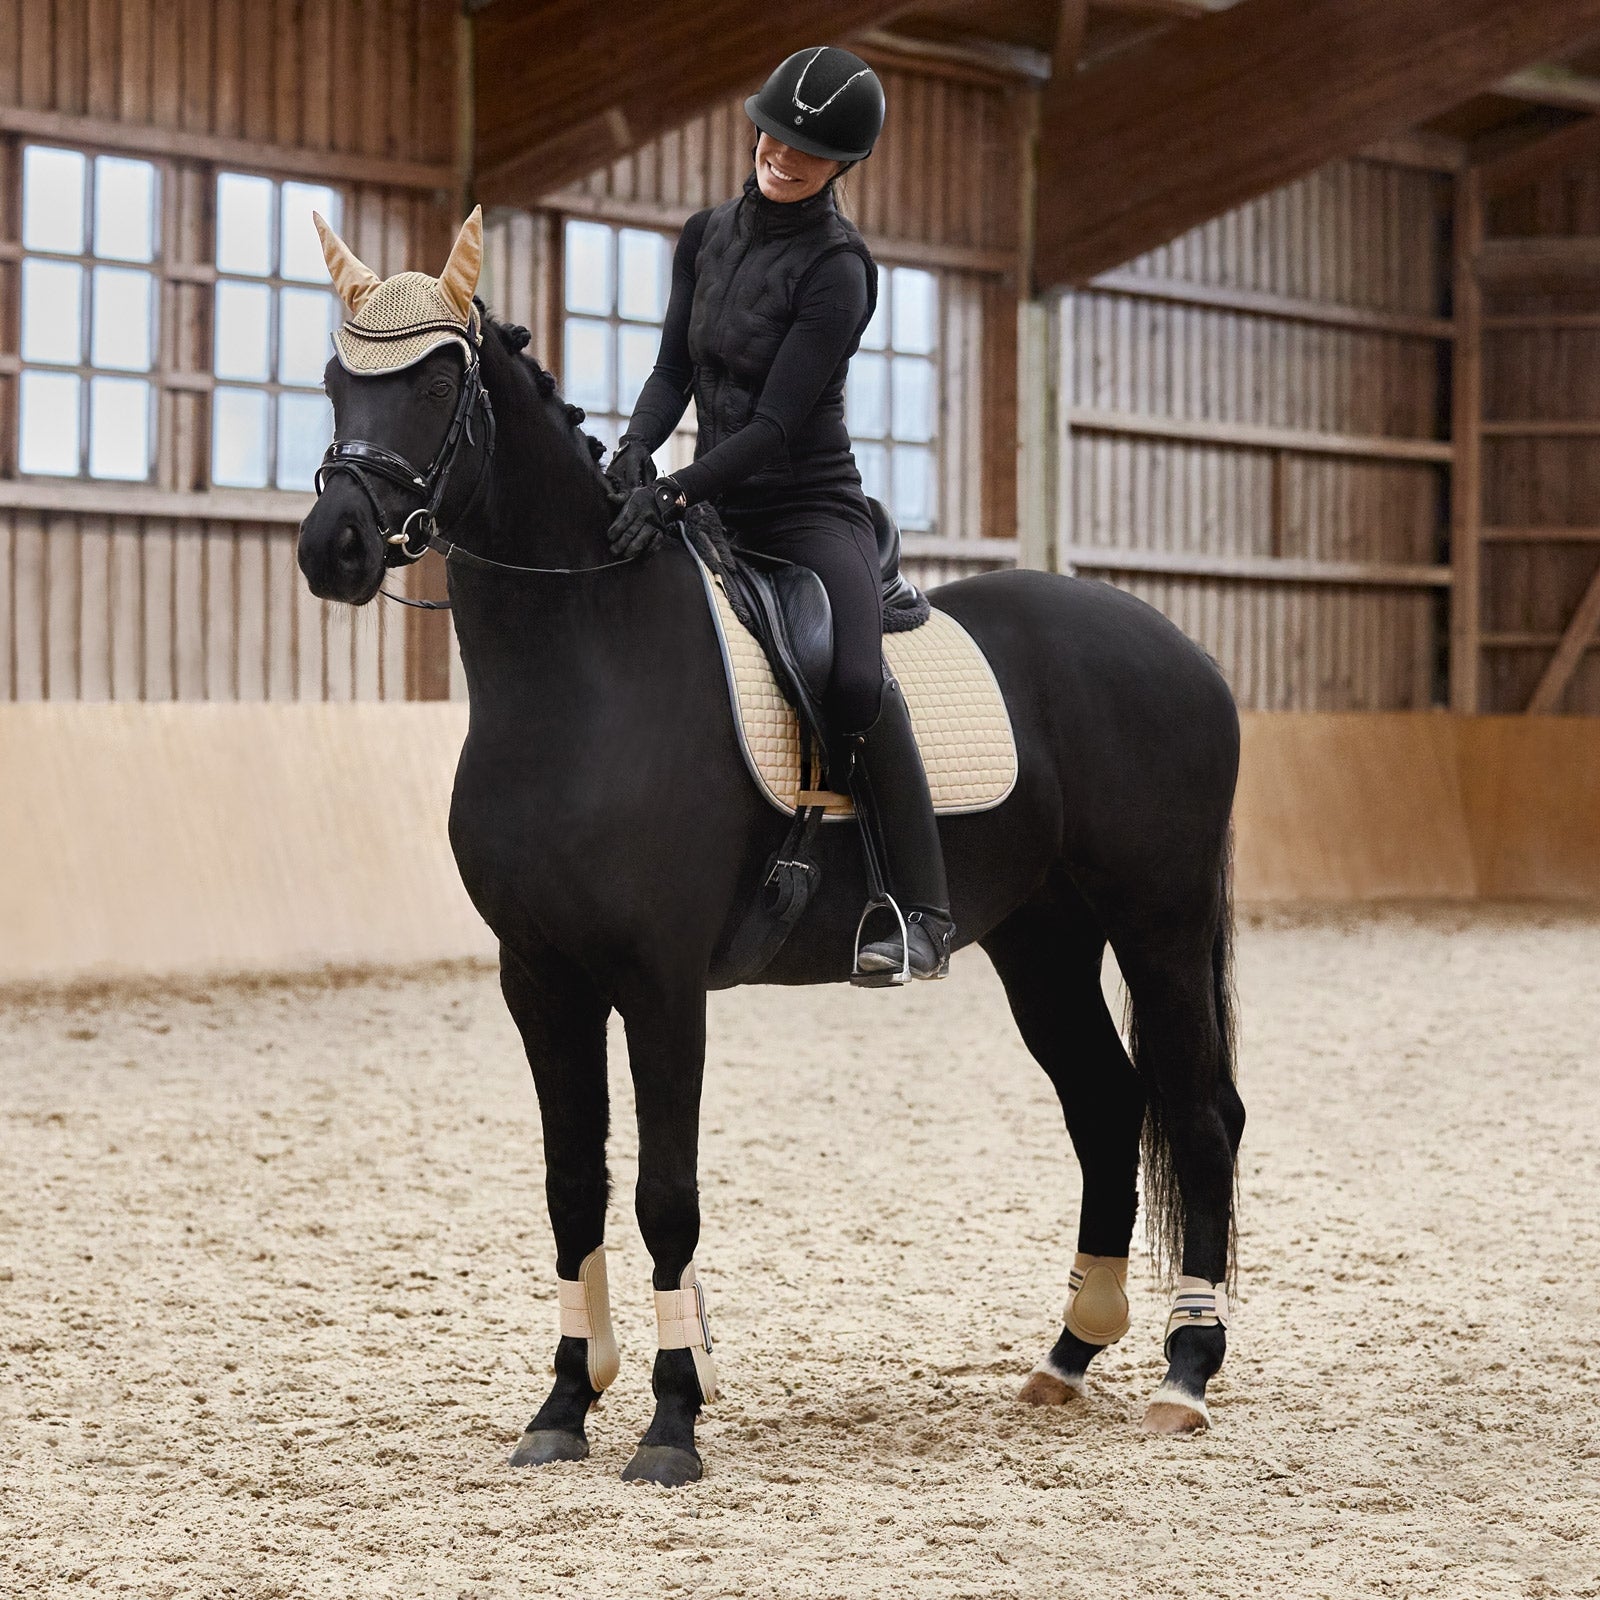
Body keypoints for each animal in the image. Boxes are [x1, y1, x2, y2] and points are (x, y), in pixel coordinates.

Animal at [296, 218, 1243, 1488]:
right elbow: (570, 1183)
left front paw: (669, 1422)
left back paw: (1185, 1374)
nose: (335, 547)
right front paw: (561, 1405)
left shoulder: (659, 983)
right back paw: (1066, 1355)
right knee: (1104, 1103)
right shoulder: (539, 978)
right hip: (1041, 939)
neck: (584, 668)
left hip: (1158, 921)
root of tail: (1179, 647)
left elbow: (665, 1193)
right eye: (338, 379)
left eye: (441, 385)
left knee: (1198, 1112)